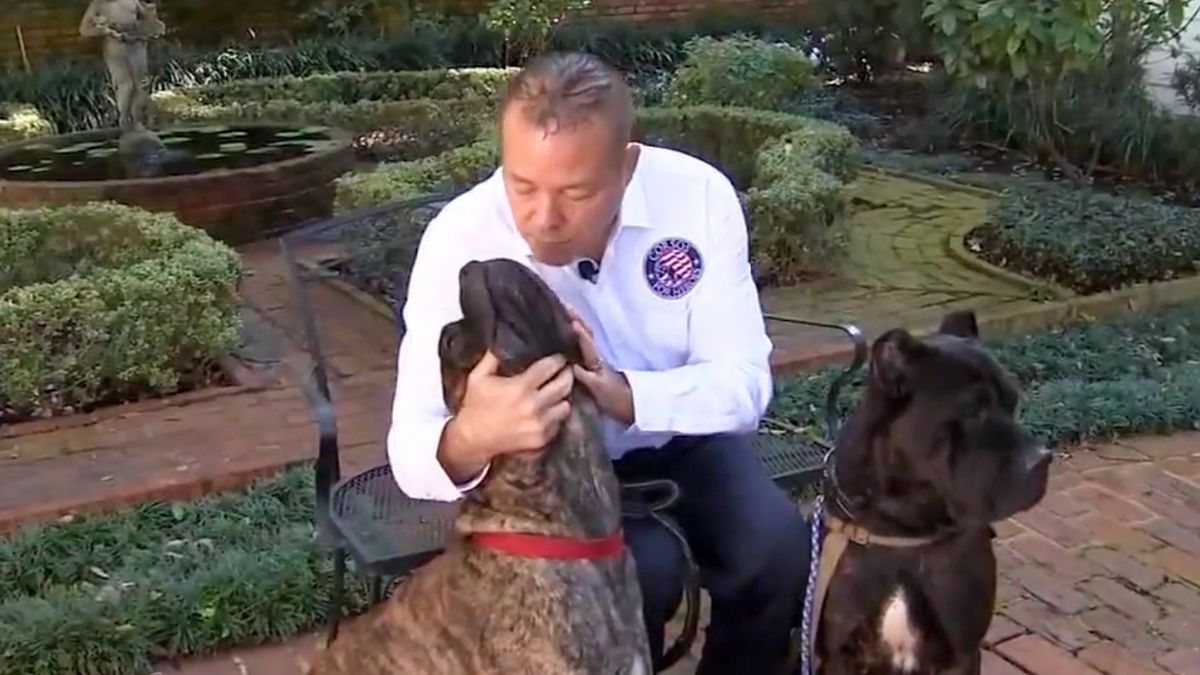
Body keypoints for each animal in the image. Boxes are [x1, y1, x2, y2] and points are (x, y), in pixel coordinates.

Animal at [806, 309, 1051, 672]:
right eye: (972, 409)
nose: (1043, 458)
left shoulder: (961, 650)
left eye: (1014, 402)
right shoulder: (840, 656)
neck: (904, 528)